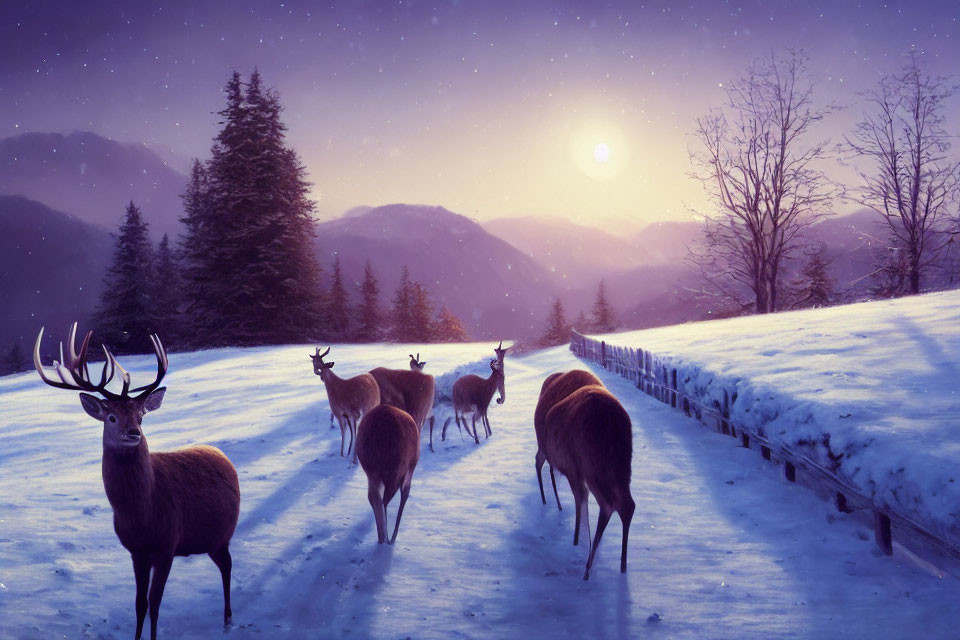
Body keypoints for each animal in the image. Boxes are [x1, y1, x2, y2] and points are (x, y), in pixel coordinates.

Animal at [31, 324, 242, 640]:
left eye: (141, 416)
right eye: (111, 416)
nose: (134, 433)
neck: (142, 513)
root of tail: (222, 455)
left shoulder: (167, 544)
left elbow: (155, 604)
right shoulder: (137, 552)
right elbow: (140, 604)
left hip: (222, 533)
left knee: (227, 566)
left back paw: (228, 618)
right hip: (209, 539)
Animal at [356, 402, 420, 544]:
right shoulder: (410, 467)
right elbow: (405, 493)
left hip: (371, 468)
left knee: (375, 498)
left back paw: (382, 539)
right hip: (404, 467)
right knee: (390, 497)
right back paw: (388, 539)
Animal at [544, 382, 632, 584]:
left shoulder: (572, 467)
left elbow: (580, 501)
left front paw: (577, 541)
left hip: (591, 463)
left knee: (608, 504)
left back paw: (588, 567)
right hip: (621, 467)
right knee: (628, 505)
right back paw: (622, 566)